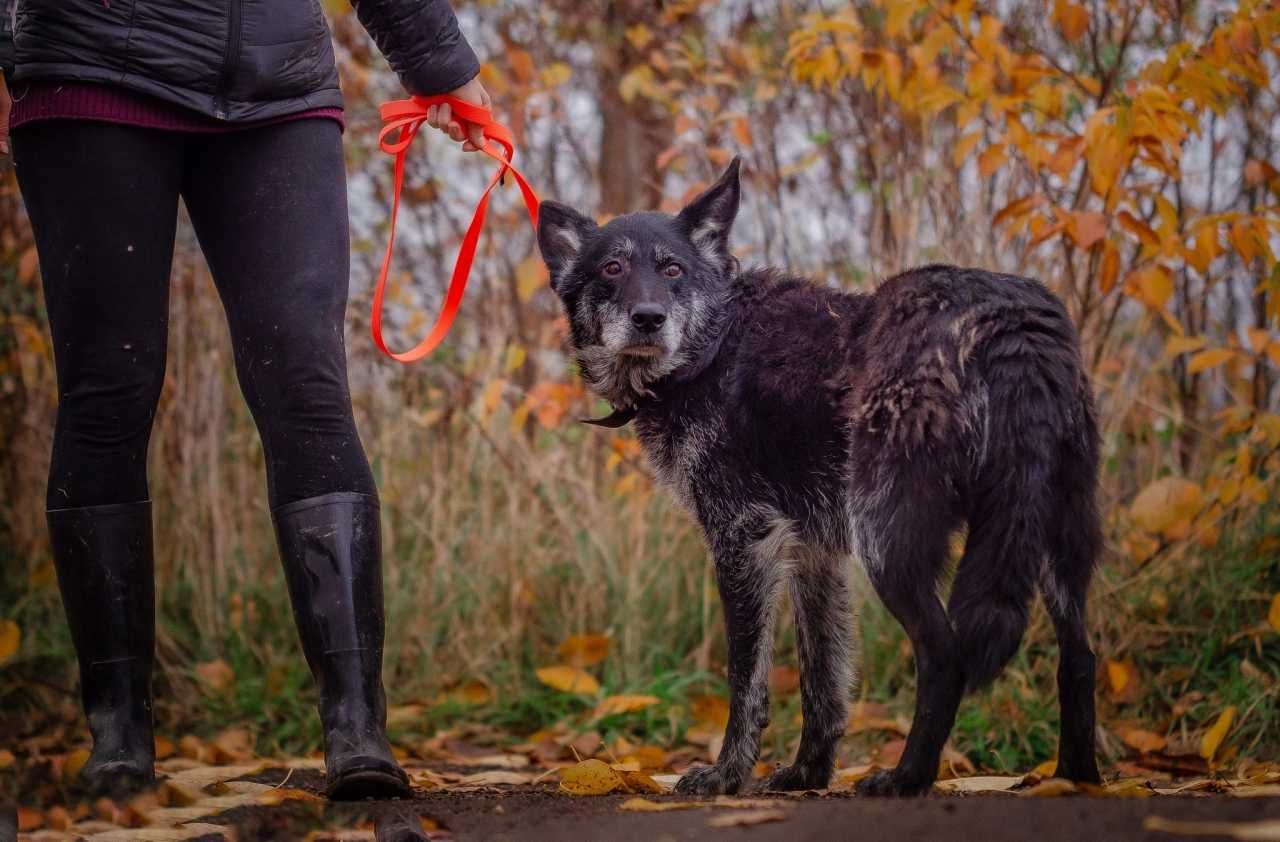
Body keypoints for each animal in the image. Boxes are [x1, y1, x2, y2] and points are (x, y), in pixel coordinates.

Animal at [535, 157, 1105, 793]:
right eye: (612, 268)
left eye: (672, 269)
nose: (648, 319)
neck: (714, 346)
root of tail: (1010, 322)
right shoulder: (816, 552)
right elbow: (823, 682)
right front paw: (807, 773)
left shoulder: (745, 542)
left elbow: (747, 680)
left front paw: (727, 775)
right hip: (1052, 541)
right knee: (1080, 660)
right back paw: (1073, 778)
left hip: (892, 547)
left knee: (944, 655)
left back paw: (906, 778)